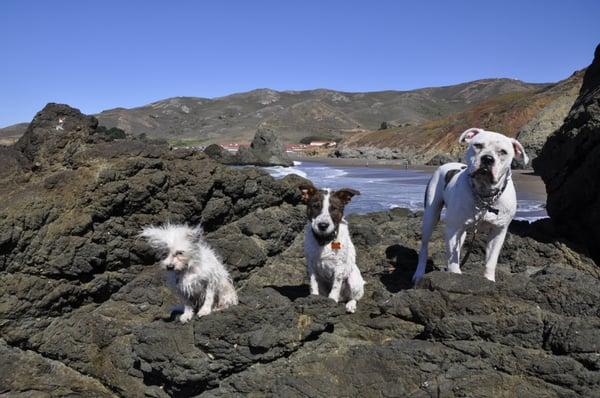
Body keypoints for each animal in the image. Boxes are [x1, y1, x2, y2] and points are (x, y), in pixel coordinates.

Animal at [298, 184, 364, 314]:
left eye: (334, 208)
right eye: (315, 206)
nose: (323, 225)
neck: (324, 241)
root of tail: (343, 298)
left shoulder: (339, 267)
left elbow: (336, 286)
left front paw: (332, 300)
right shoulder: (311, 266)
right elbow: (313, 284)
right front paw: (313, 298)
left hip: (353, 280)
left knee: (354, 297)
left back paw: (350, 305)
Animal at [414, 128, 528, 282]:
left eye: (503, 152)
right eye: (478, 145)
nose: (487, 158)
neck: (485, 195)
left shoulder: (498, 231)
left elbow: (491, 261)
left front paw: (489, 280)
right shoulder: (452, 229)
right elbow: (453, 260)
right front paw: (455, 276)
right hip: (431, 216)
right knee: (425, 246)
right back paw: (419, 274)